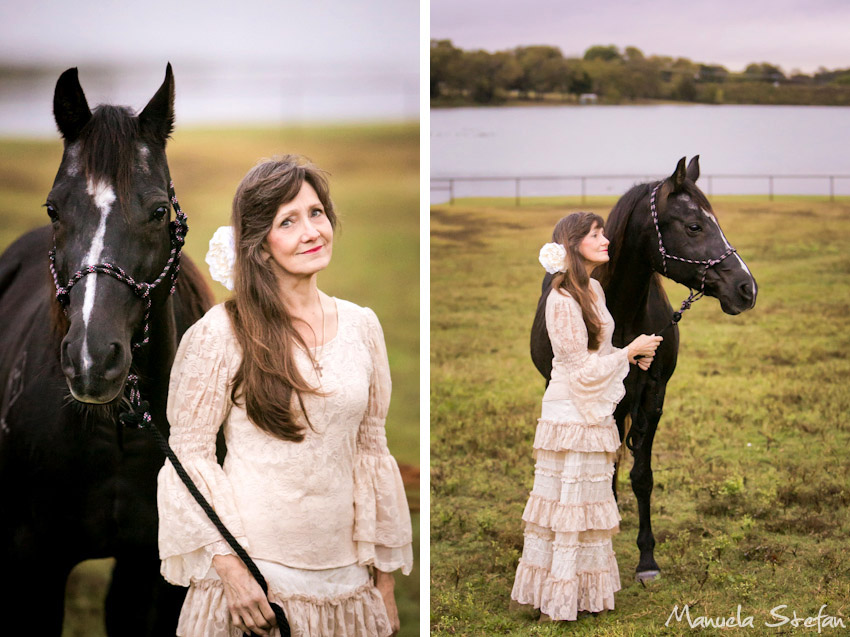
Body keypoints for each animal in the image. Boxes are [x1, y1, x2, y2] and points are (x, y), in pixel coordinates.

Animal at [528, 158, 756, 580]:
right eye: (694, 226)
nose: (747, 288)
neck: (622, 311)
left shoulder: (653, 395)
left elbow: (643, 476)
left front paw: (647, 558)